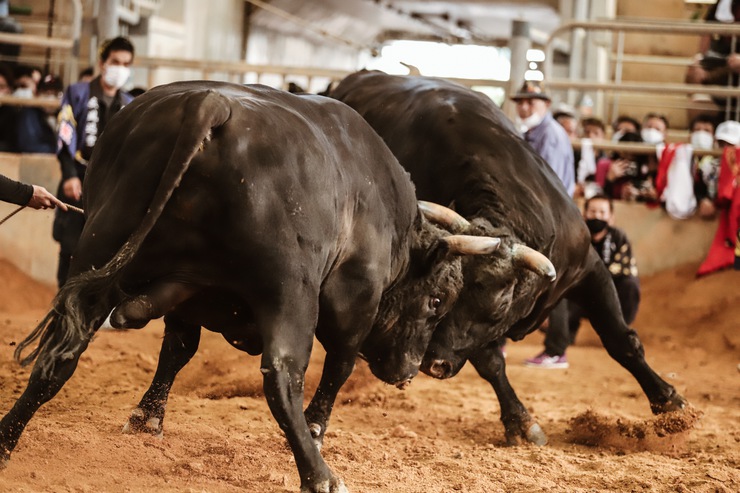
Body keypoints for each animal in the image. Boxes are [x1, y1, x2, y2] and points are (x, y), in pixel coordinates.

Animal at [0, 80, 516, 492]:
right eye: (437, 300)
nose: (412, 372)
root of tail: (208, 104)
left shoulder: (186, 291)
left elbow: (176, 349)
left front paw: (148, 417)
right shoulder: (354, 305)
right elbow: (338, 367)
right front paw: (317, 430)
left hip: (100, 244)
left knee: (58, 357)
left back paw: (6, 441)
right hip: (291, 291)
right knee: (283, 374)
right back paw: (319, 475)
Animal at [330, 72, 688, 446]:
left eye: (500, 306)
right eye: (447, 300)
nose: (433, 364)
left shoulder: (590, 269)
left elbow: (620, 339)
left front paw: (668, 402)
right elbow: (490, 363)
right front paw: (521, 421)